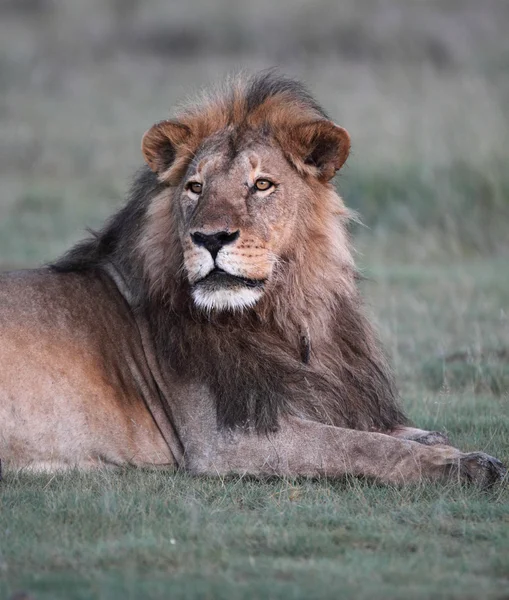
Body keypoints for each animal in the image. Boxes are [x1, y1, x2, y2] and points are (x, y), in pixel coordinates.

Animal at [0, 71, 504, 488]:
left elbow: (395, 429)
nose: (210, 237)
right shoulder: (226, 437)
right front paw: (460, 465)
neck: (286, 314)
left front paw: (445, 444)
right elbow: (360, 445)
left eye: (261, 184)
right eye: (195, 187)